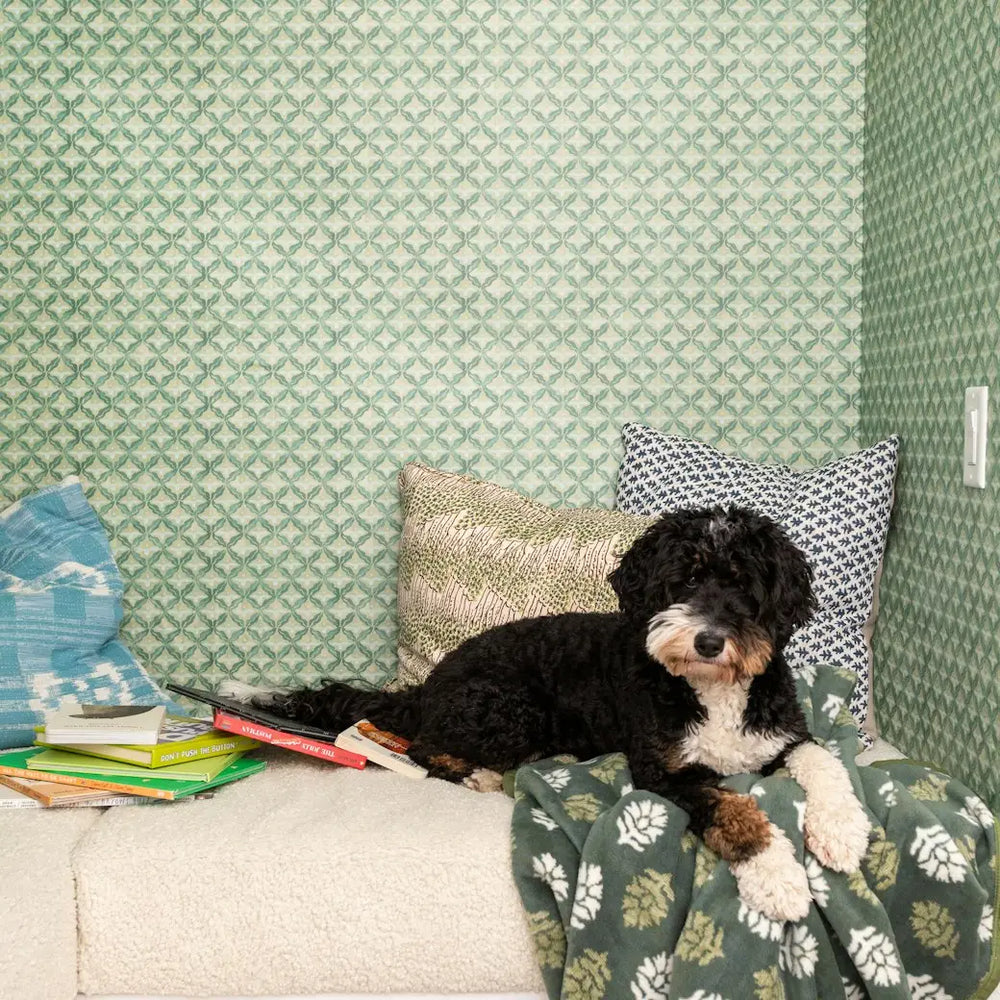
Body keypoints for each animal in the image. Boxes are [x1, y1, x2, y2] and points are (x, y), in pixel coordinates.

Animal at [232, 508, 868, 920]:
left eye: (744, 589)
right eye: (683, 582)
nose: (710, 641)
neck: (710, 690)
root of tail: (427, 685)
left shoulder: (780, 734)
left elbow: (824, 760)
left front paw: (842, 830)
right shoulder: (662, 772)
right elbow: (729, 807)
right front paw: (777, 879)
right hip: (512, 708)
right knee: (422, 745)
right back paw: (477, 773)